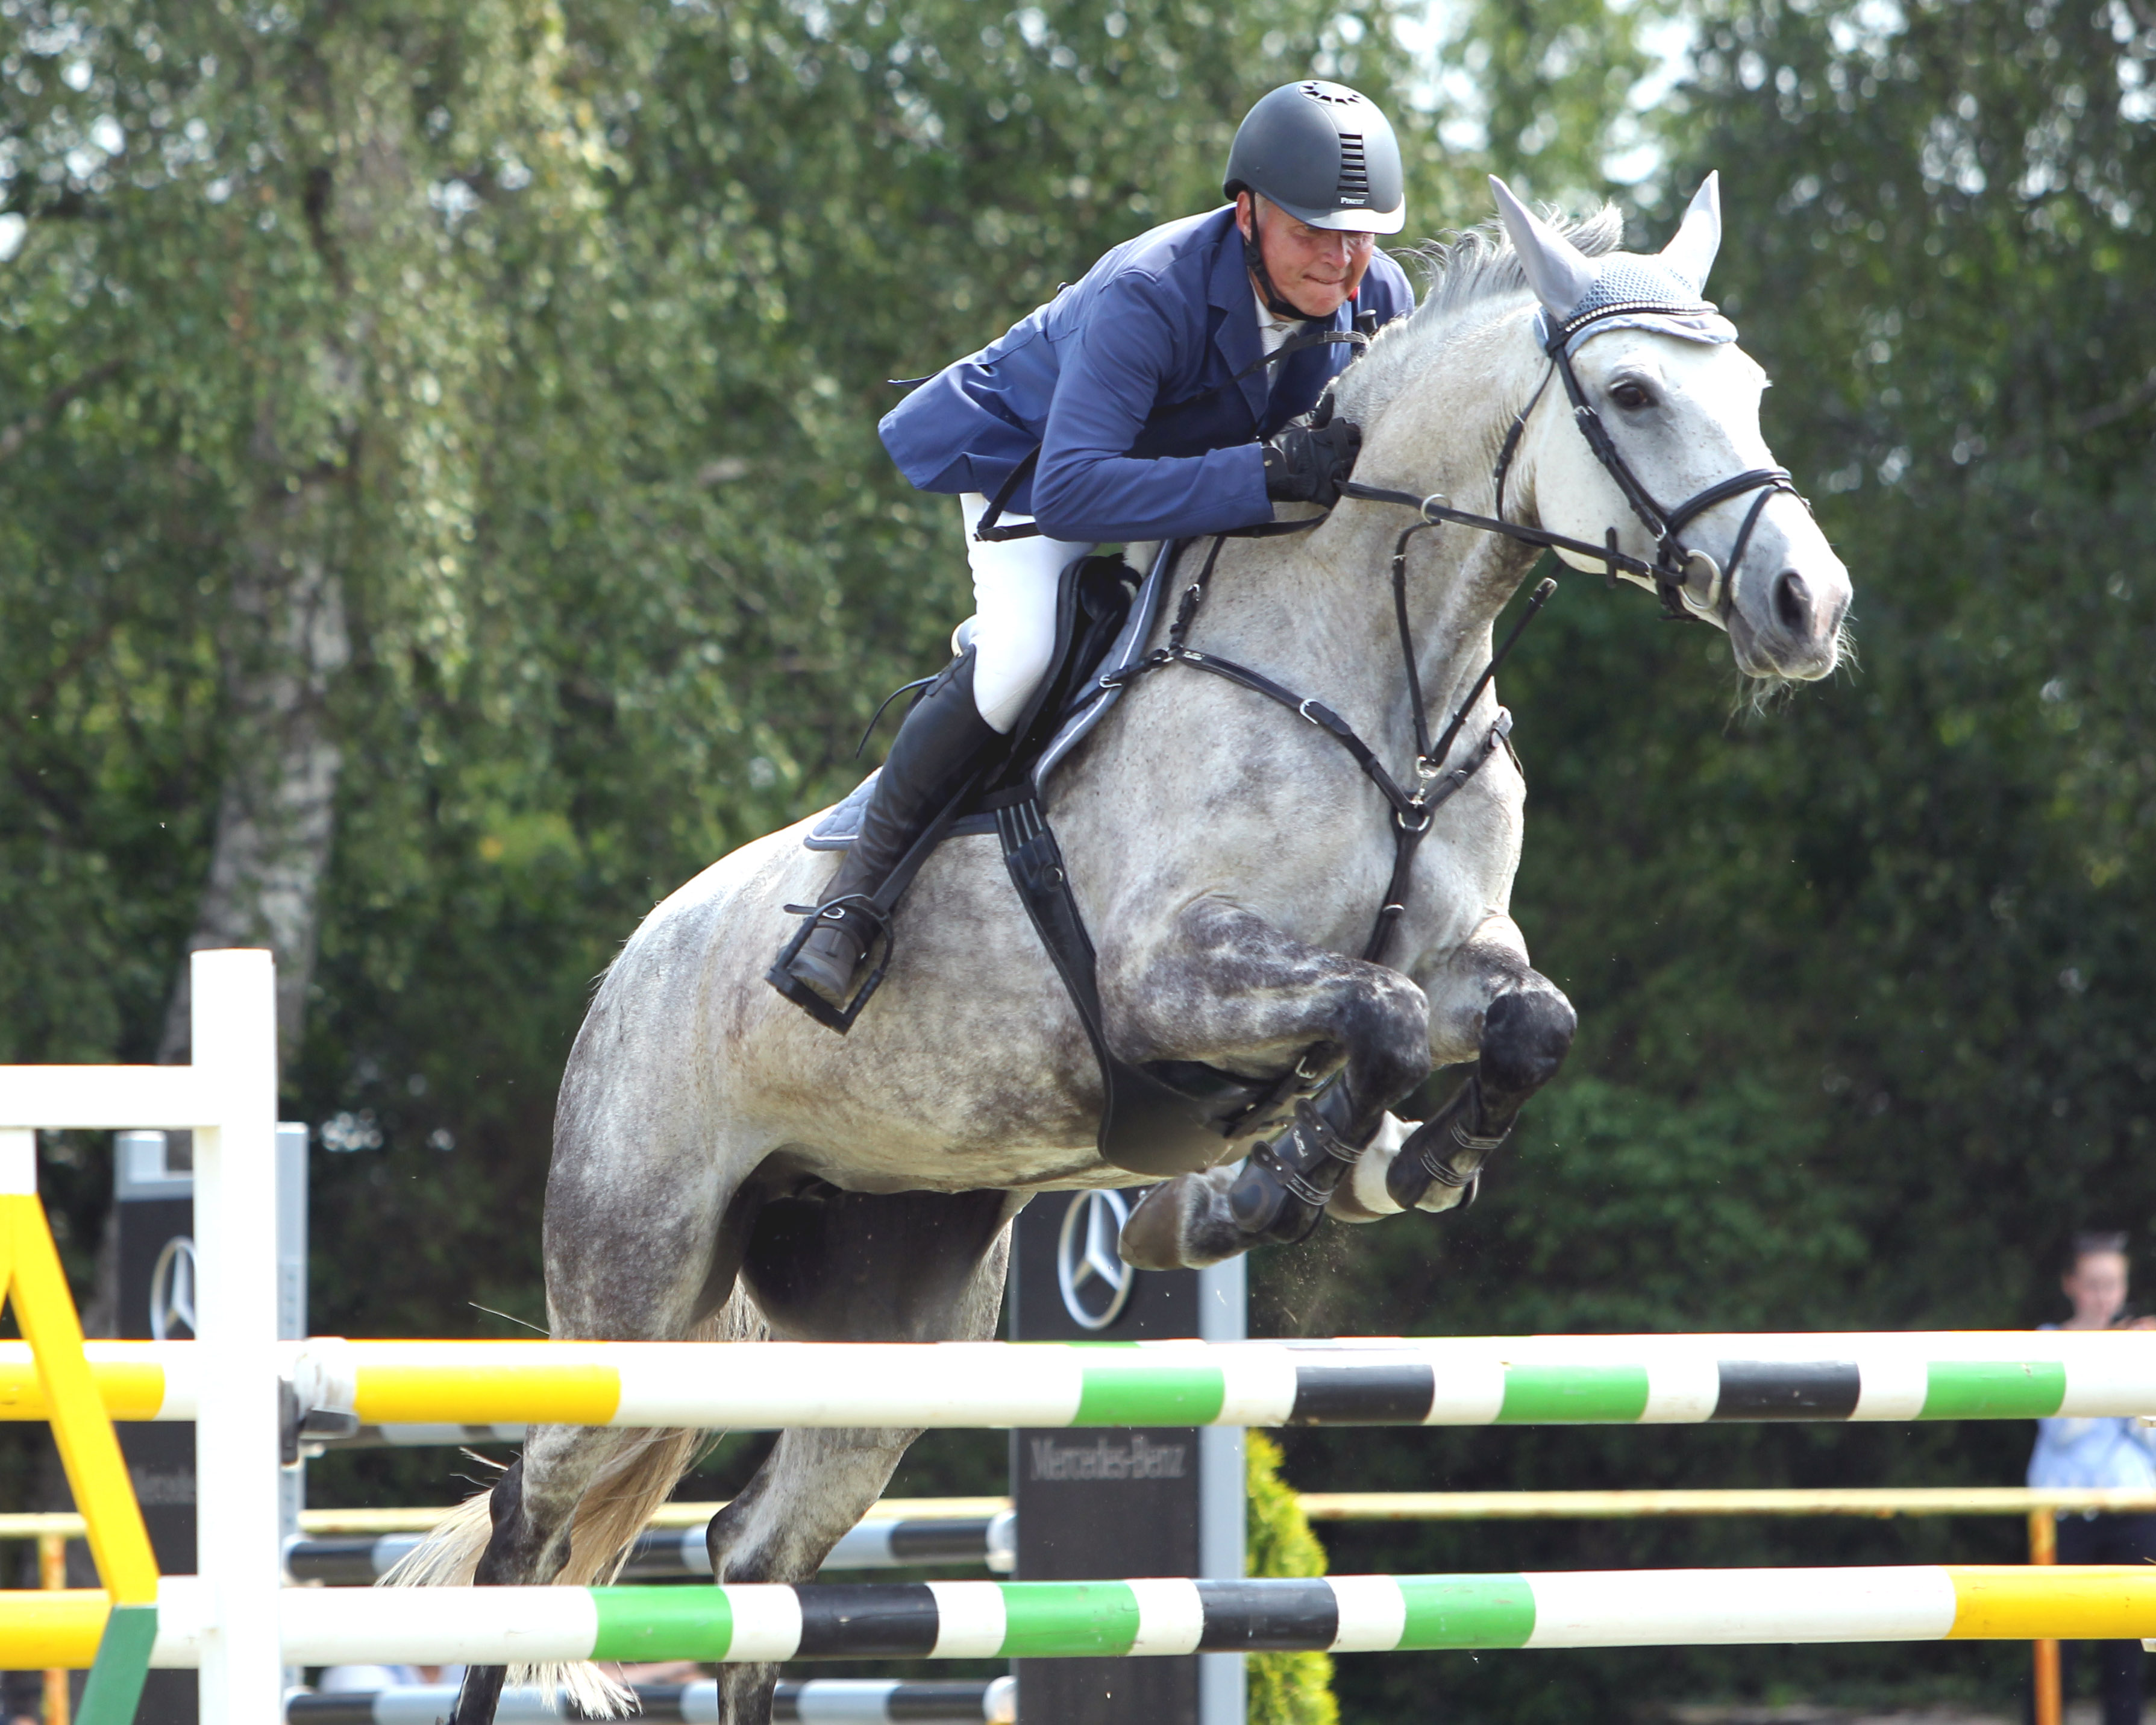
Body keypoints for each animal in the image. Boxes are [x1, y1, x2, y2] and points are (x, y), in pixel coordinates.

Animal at [416, 182, 1854, 1716]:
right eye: (1633, 392)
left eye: (1754, 391)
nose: (1808, 606)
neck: (1378, 675)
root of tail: (624, 971)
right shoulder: (1169, 980)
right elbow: (1380, 1014)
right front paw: (1260, 1189)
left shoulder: (1469, 951)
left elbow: (1524, 1021)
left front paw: (1410, 1164)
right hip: (640, 1286)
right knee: (528, 1520)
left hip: (900, 1310)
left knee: (757, 1552)